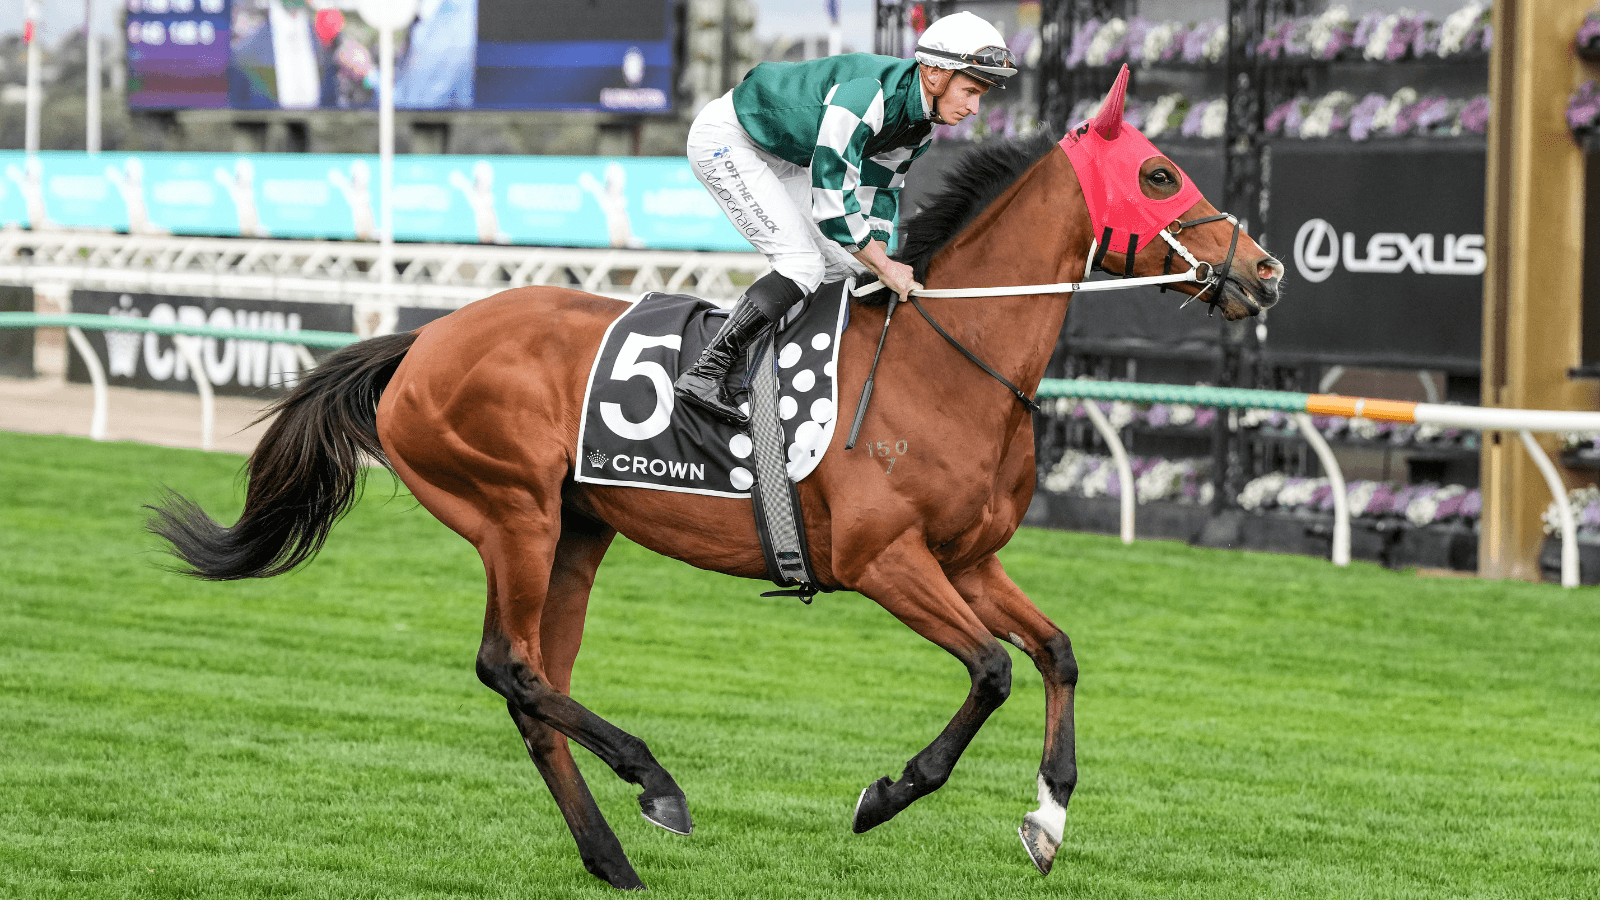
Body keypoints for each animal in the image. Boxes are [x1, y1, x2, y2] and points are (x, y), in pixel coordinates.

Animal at [149, 76, 1283, 890]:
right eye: (1160, 176)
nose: (1266, 270)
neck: (946, 362)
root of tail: (424, 340)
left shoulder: (968, 558)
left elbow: (1055, 653)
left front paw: (1046, 820)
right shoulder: (884, 561)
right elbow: (993, 671)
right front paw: (886, 795)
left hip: (577, 531)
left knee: (534, 684)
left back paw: (611, 856)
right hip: (509, 512)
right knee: (508, 668)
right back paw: (654, 784)